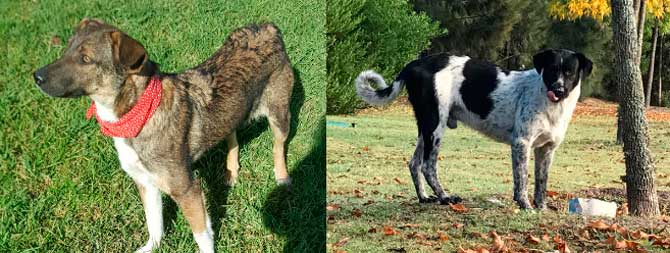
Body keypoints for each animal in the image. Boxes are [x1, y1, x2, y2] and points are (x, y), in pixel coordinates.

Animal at [32, 18, 294, 253]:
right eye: (67, 49)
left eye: (85, 59)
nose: (37, 76)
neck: (137, 115)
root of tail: (268, 27)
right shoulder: (145, 183)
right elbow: (154, 225)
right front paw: (152, 248)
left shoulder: (187, 190)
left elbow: (202, 237)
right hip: (231, 111)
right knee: (232, 137)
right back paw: (231, 172)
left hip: (279, 114)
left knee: (278, 146)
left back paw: (282, 177)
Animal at [356, 48, 592, 209]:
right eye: (551, 70)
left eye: (570, 73)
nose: (559, 90)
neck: (551, 105)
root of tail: (416, 63)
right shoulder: (521, 144)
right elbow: (522, 180)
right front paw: (525, 205)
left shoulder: (546, 149)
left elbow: (542, 182)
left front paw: (541, 208)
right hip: (435, 126)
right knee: (428, 166)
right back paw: (445, 198)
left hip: (426, 128)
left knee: (414, 163)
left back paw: (424, 197)